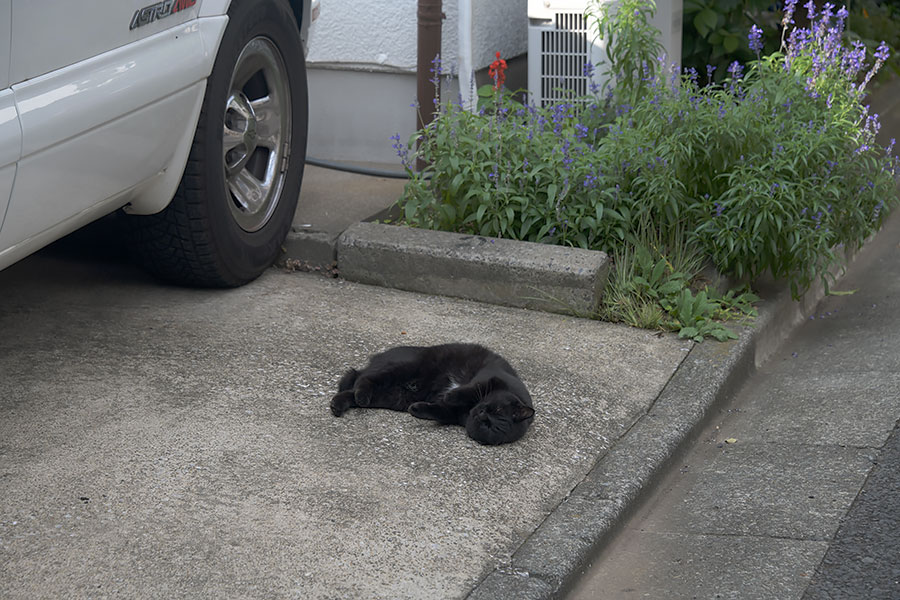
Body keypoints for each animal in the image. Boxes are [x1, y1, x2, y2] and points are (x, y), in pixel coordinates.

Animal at [334, 342, 536, 446]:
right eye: (497, 409)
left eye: (489, 426)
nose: (481, 414)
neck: (469, 409)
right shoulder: (493, 377)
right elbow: (470, 389)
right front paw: (451, 395)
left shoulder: (451, 414)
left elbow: (437, 411)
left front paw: (416, 410)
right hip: (403, 367)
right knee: (363, 378)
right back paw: (359, 395)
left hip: (392, 396)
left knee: (353, 390)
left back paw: (338, 405)